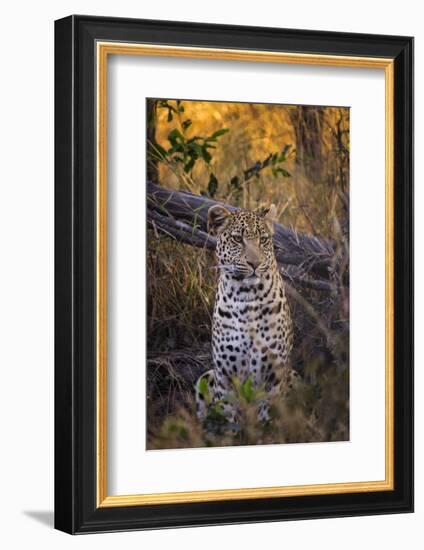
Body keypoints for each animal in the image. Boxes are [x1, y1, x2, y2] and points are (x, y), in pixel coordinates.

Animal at [195, 203, 298, 426]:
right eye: (237, 239)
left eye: (264, 240)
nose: (255, 263)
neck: (246, 298)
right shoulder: (225, 377)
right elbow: (229, 418)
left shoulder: (275, 376)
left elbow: (268, 418)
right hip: (206, 376)